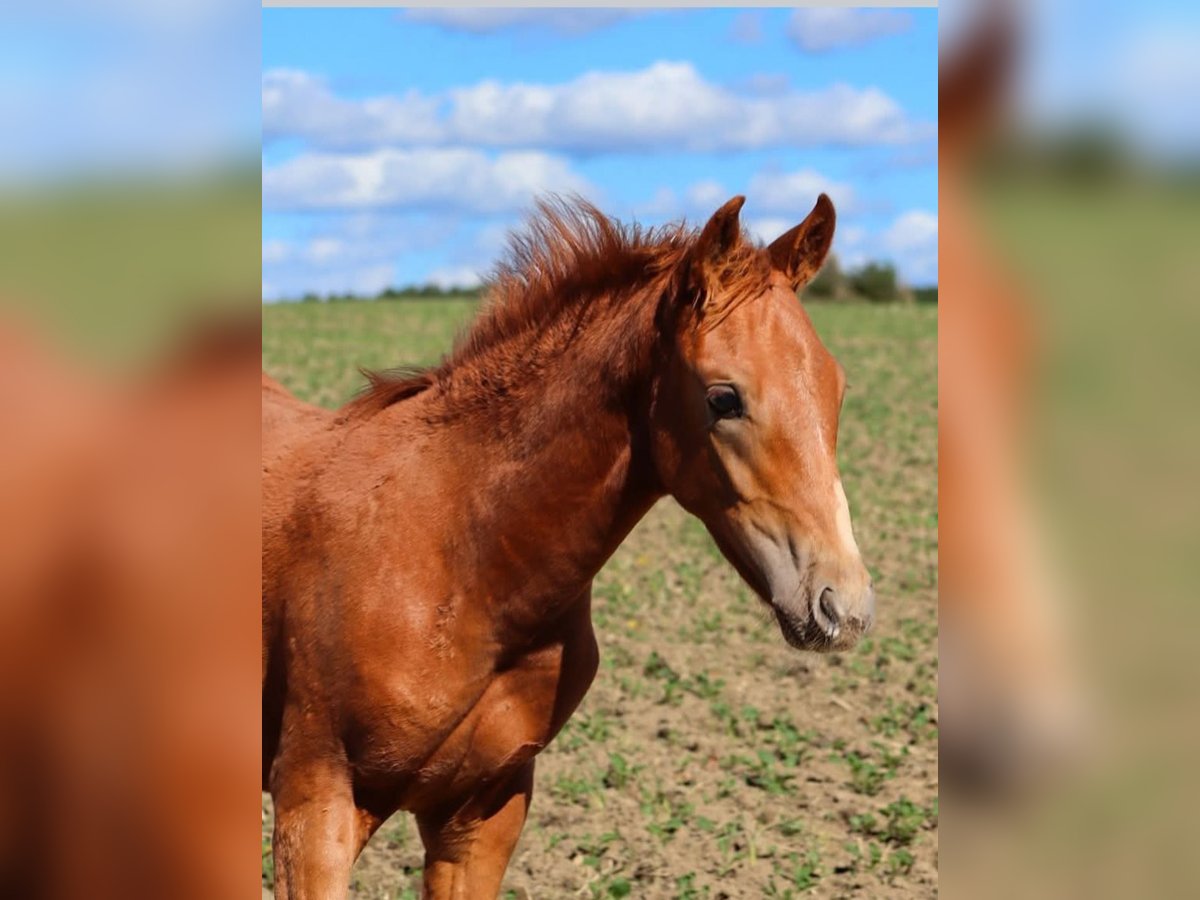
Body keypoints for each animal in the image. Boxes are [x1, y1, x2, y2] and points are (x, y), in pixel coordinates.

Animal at [261, 193, 875, 899]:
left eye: (837, 388)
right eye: (724, 398)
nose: (843, 607)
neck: (457, 560)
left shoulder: (483, 811)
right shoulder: (315, 807)